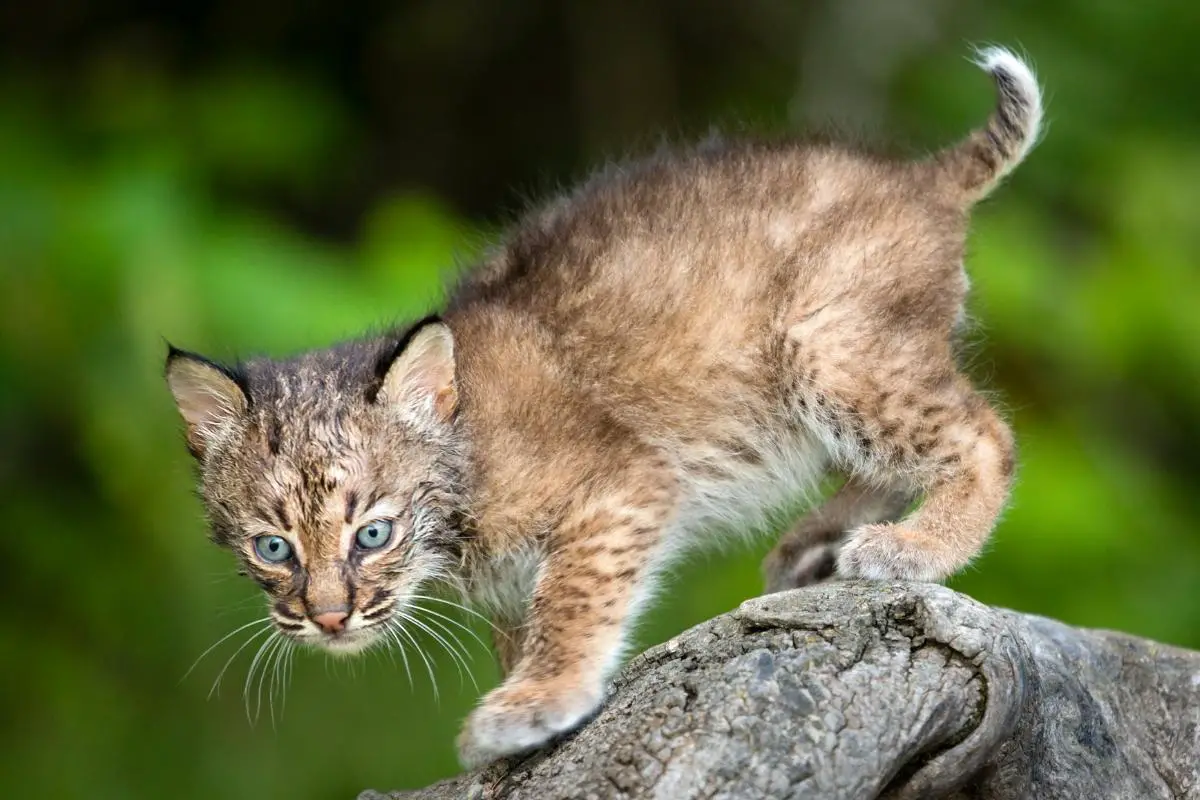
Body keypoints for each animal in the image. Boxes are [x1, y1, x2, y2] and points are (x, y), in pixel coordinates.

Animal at [166, 48, 1041, 762]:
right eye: (272, 548)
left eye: (372, 534)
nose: (328, 620)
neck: (461, 476)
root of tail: (916, 176)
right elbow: (523, 621)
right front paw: (522, 691)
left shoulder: (623, 481)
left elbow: (573, 599)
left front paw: (536, 698)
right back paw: (819, 542)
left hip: (825, 346)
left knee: (988, 434)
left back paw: (913, 547)